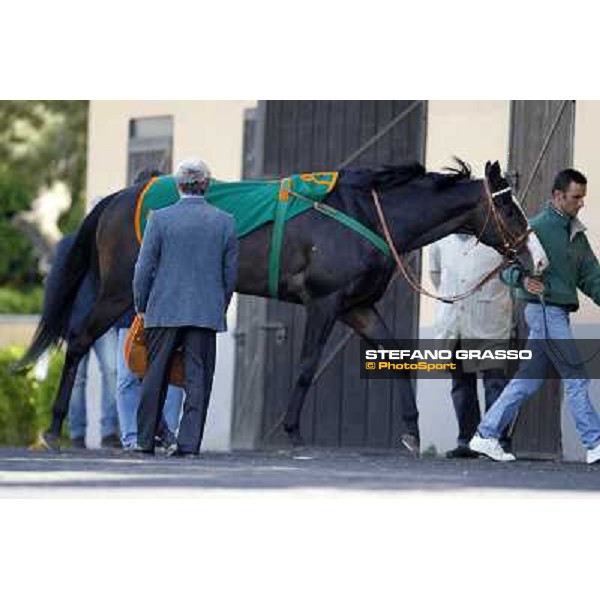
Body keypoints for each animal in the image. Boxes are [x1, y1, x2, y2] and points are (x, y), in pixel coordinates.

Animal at [18, 159, 548, 450]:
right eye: (508, 206)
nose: (538, 258)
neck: (364, 214)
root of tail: (114, 198)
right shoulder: (324, 302)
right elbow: (308, 365)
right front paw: (291, 431)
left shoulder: (357, 306)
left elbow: (396, 357)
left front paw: (412, 432)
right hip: (116, 293)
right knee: (81, 341)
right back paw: (55, 427)